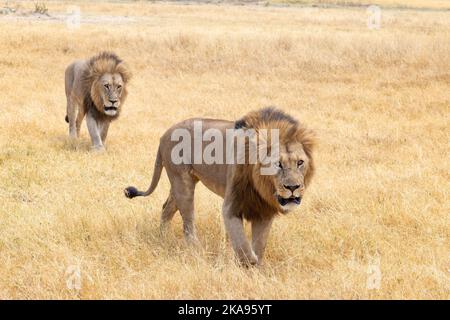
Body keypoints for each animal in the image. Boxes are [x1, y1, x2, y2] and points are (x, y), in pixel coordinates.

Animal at [121, 107, 314, 264]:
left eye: (300, 162)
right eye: (277, 164)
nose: (293, 187)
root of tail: (164, 135)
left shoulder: (264, 210)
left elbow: (260, 243)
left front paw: (257, 266)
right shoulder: (231, 206)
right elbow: (241, 240)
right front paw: (248, 260)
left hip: (181, 183)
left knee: (166, 208)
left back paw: (163, 238)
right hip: (182, 183)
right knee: (188, 221)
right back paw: (196, 250)